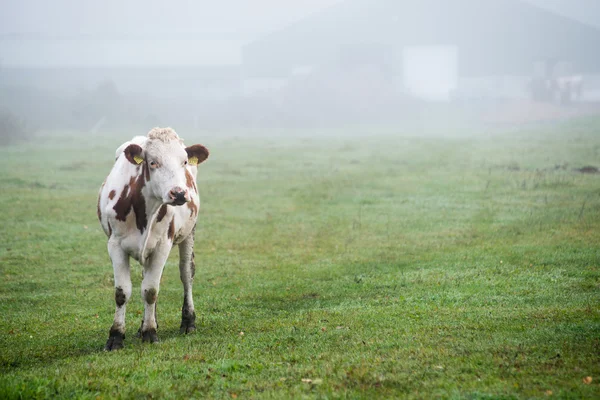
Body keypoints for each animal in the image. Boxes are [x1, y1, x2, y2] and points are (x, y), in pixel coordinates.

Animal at [98, 127, 209, 350]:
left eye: (184, 161)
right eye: (152, 162)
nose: (179, 193)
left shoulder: (162, 244)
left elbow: (150, 290)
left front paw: (150, 332)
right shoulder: (115, 245)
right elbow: (122, 292)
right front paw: (116, 335)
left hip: (189, 232)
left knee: (186, 274)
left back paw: (188, 322)